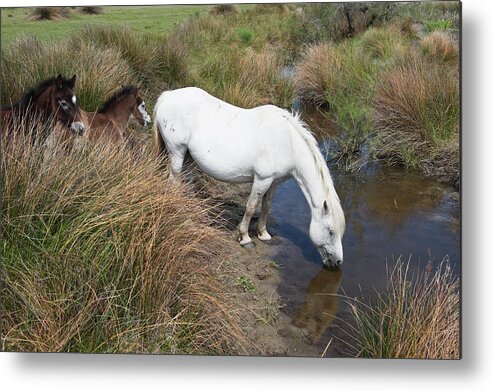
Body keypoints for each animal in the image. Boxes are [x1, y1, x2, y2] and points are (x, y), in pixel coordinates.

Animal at [154, 87, 346, 268]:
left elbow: (267, 206)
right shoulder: (262, 179)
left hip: (187, 156)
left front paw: (263, 233)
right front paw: (244, 237)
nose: (337, 262)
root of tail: (167, 96)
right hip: (177, 152)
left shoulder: (274, 182)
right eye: (330, 231)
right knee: (173, 182)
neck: (288, 143)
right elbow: (252, 207)